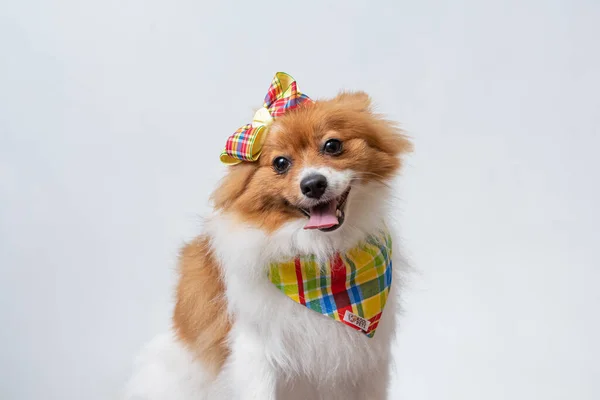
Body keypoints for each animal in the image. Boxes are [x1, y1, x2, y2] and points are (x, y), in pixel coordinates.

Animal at [123, 73, 410, 398]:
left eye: (333, 145)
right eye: (280, 163)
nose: (313, 184)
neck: (321, 258)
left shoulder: (367, 362)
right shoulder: (256, 354)